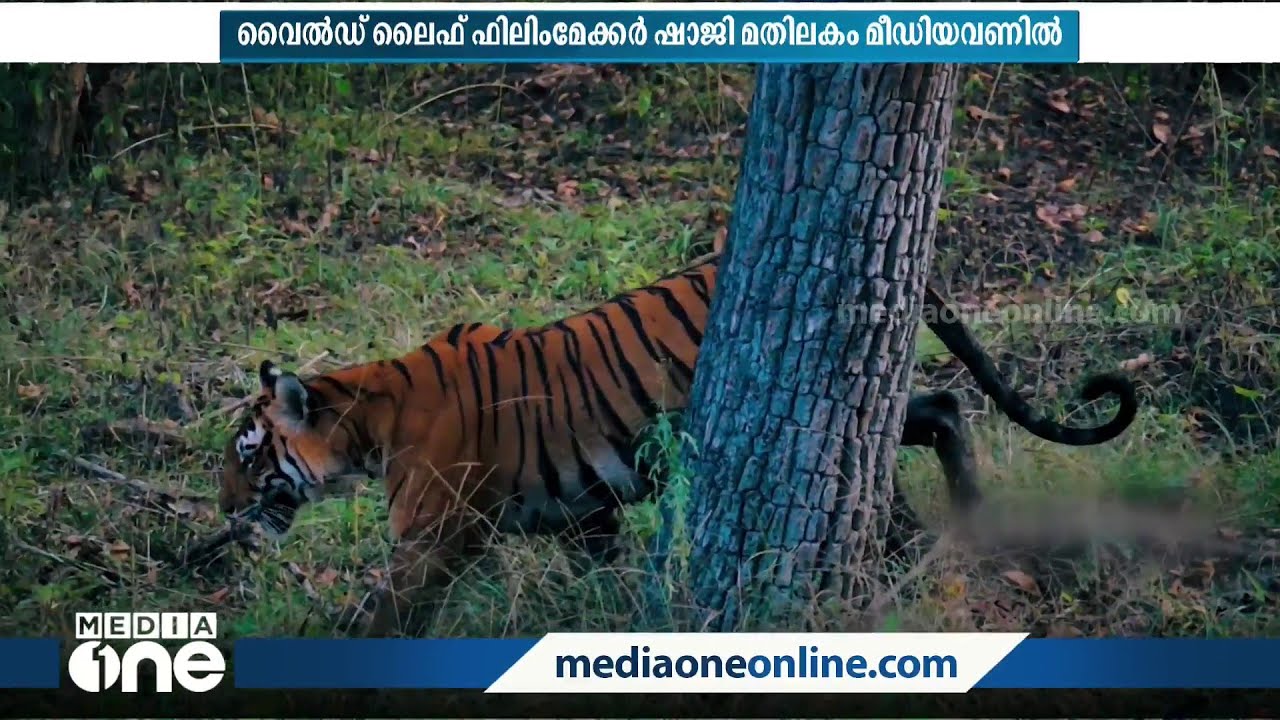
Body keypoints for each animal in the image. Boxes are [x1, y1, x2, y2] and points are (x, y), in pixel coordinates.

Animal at [219, 250, 1138, 636]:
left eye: (246, 454)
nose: (222, 513)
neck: (365, 422)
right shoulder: (581, 513)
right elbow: (609, 576)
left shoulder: (434, 537)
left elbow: (382, 614)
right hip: (867, 399)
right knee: (938, 411)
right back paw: (943, 536)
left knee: (927, 424)